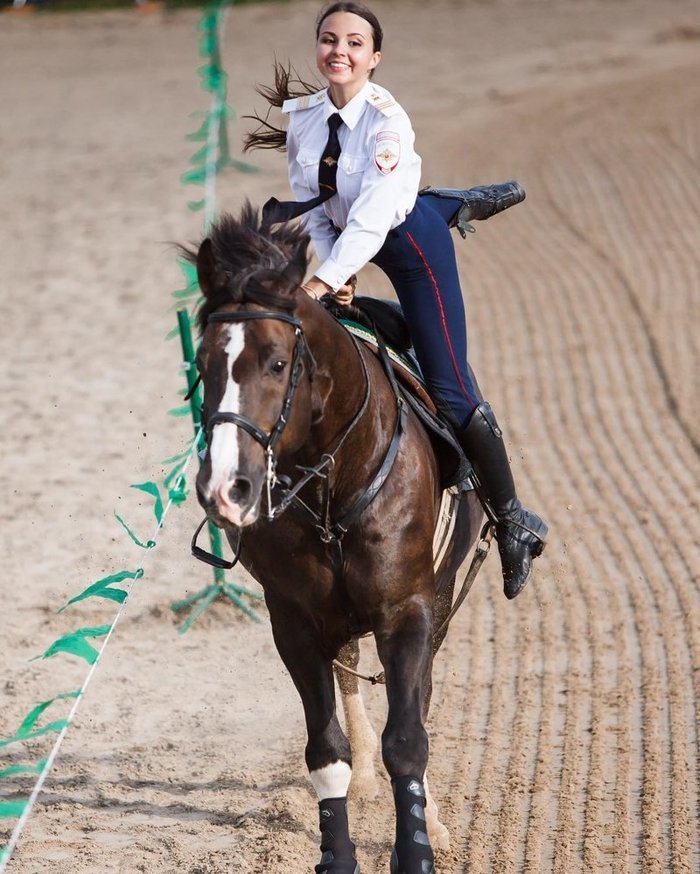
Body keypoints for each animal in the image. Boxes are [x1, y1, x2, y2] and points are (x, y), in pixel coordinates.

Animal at [183, 206, 484, 872]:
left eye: (277, 363)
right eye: (203, 364)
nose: (226, 486)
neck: (334, 485)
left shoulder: (409, 608)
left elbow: (409, 736)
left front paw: (419, 847)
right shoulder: (293, 619)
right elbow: (326, 749)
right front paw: (338, 850)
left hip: (439, 595)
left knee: (416, 698)